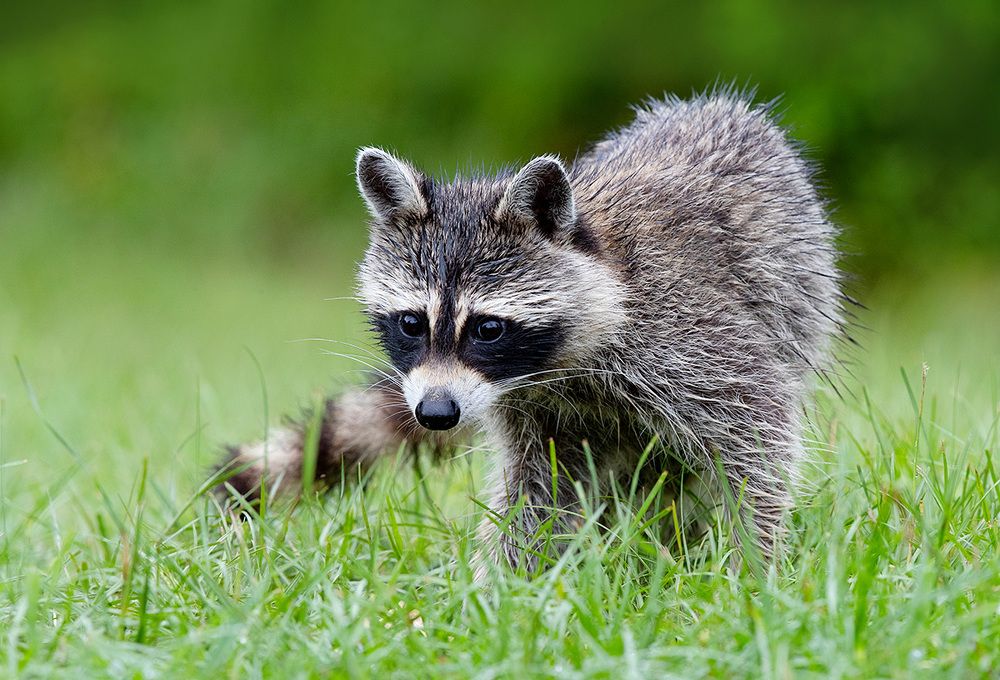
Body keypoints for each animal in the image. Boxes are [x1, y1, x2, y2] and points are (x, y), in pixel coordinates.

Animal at [217, 91, 842, 574]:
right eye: (412, 323)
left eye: (488, 329)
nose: (435, 414)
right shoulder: (530, 410)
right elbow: (537, 490)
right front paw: (502, 587)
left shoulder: (693, 337)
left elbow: (756, 439)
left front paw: (751, 568)